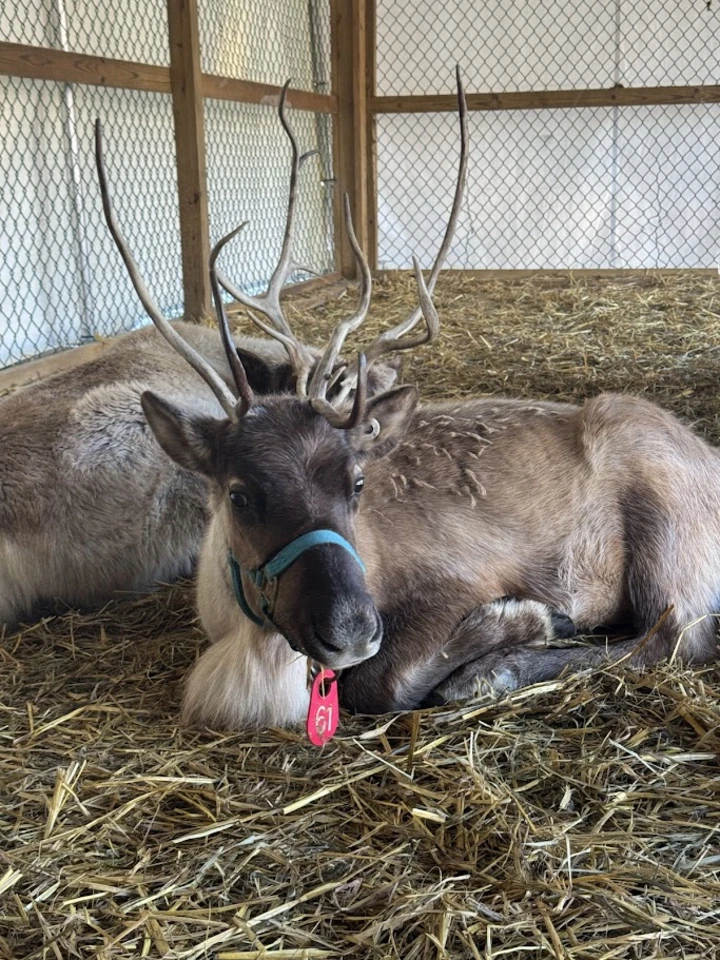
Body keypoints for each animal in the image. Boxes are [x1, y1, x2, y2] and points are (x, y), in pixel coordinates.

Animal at [95, 70, 720, 731]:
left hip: (667, 532)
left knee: (671, 638)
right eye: (239, 495)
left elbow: (384, 680)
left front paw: (524, 622)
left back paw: (493, 671)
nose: (350, 631)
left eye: (357, 484)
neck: (245, 644)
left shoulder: (458, 577)